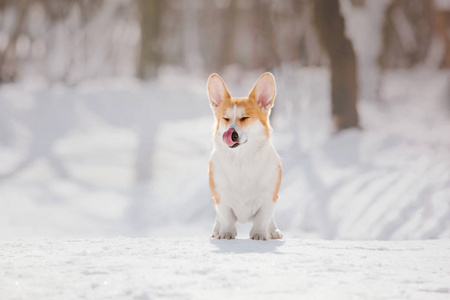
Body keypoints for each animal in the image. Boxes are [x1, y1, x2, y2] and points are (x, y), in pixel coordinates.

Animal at [207, 73, 282, 241]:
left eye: (245, 118)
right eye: (226, 118)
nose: (231, 134)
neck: (241, 159)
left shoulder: (268, 197)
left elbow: (262, 219)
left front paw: (259, 235)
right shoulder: (220, 197)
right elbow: (226, 218)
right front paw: (226, 233)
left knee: (270, 219)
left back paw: (273, 231)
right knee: (218, 218)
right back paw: (216, 230)